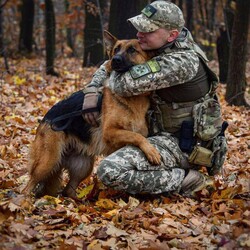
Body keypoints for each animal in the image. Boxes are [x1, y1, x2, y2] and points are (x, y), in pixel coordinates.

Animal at [23, 31, 160, 199]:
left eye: (132, 50)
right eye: (116, 49)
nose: (115, 60)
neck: (132, 99)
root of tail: (46, 119)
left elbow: (137, 136)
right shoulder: (110, 132)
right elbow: (137, 136)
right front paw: (152, 151)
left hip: (84, 166)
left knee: (68, 190)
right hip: (48, 162)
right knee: (28, 186)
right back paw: (24, 201)